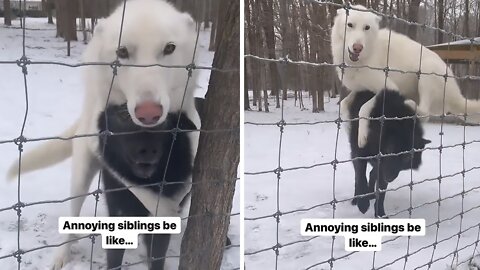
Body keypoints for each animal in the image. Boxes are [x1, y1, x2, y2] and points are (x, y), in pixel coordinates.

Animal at [97, 105, 195, 270]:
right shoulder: (118, 210)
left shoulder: (162, 216)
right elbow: (114, 256)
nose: (148, 150)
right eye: (123, 114)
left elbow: (157, 257)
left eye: (165, 119)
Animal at [332, 4, 480, 147]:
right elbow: (343, 105)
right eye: (350, 25)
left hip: (426, 72)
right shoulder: (360, 89)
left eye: (366, 27)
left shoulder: (389, 87)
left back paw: (409, 104)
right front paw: (349, 130)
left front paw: (362, 137)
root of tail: (457, 95)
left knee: (425, 113)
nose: (358, 47)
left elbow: (363, 108)